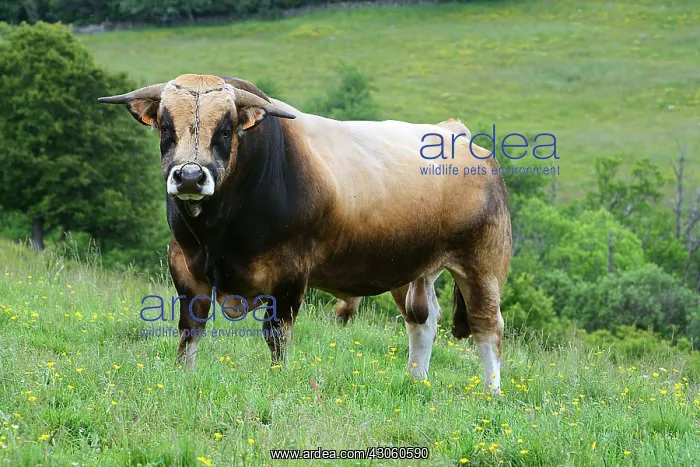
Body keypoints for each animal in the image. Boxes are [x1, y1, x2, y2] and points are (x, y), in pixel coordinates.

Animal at [98, 74, 511, 393]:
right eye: (166, 127)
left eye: (226, 130)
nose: (189, 176)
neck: (218, 233)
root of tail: (452, 131)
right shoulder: (184, 264)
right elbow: (189, 330)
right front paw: (184, 376)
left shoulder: (291, 272)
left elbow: (276, 334)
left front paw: (277, 379)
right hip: (410, 267)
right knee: (422, 323)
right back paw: (415, 381)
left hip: (482, 263)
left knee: (488, 326)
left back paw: (491, 393)